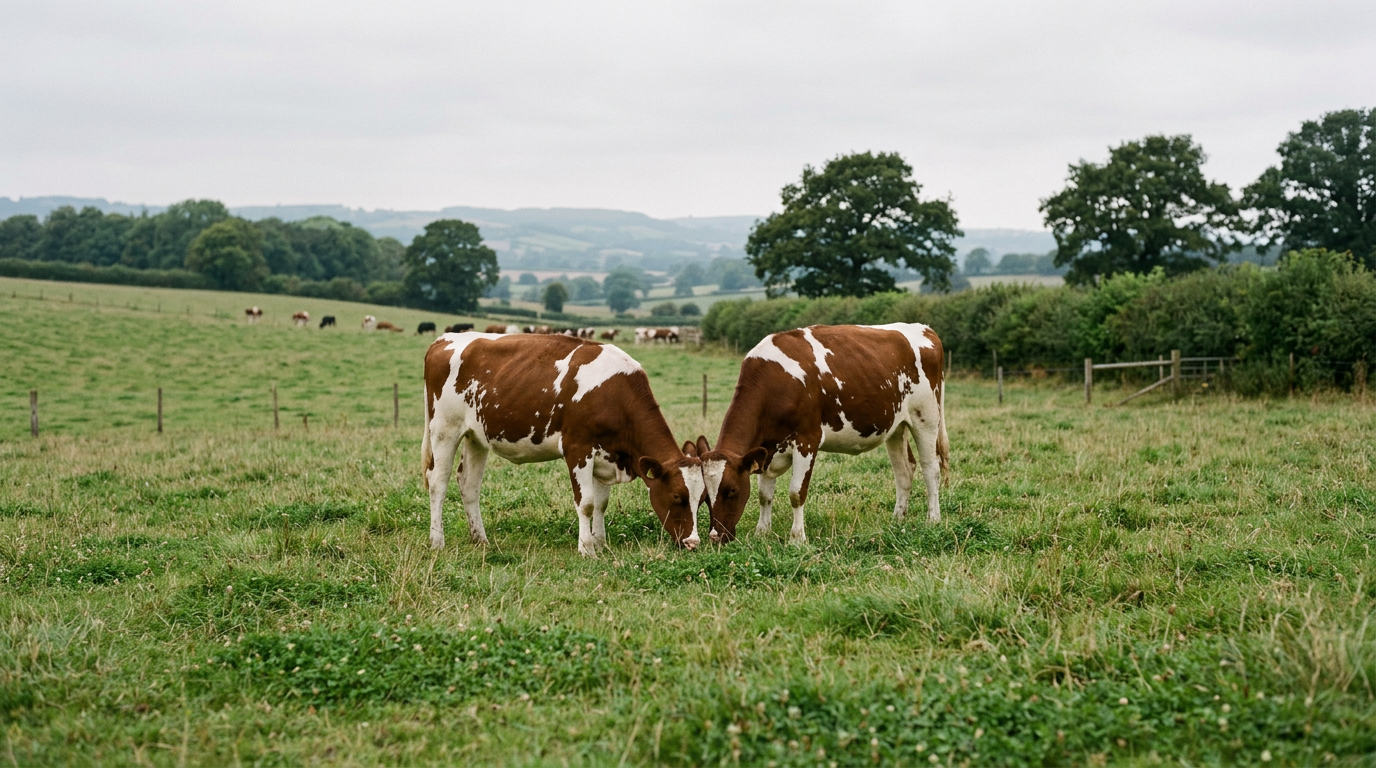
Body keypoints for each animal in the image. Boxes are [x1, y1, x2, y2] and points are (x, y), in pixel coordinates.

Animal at [422, 332, 708, 555]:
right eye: (677, 496)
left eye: (703, 498)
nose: (693, 543)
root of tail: (444, 339)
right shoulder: (578, 449)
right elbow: (587, 503)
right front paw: (587, 549)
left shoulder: (605, 454)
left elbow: (601, 503)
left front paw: (600, 542)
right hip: (444, 429)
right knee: (437, 481)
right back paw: (437, 541)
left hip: (476, 436)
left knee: (468, 484)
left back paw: (480, 539)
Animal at [700, 323, 949, 546]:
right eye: (705, 496)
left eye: (732, 490)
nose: (715, 537)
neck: (774, 383)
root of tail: (926, 329)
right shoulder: (767, 449)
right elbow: (764, 494)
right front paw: (761, 532)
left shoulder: (807, 440)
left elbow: (796, 493)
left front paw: (797, 539)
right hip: (896, 426)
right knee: (904, 471)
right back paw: (897, 520)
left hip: (926, 417)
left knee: (931, 469)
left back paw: (933, 519)